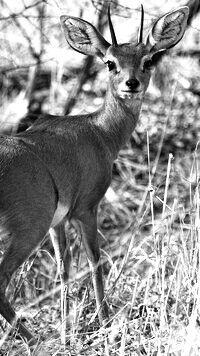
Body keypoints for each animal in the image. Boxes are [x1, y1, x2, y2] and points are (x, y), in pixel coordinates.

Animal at [0, 5, 188, 344]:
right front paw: (103, 322)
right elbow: (95, 261)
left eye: (148, 59)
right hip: (27, 230)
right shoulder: (86, 209)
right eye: (110, 62)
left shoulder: (58, 222)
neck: (98, 131)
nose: (131, 83)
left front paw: (66, 330)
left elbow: (64, 268)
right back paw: (34, 339)